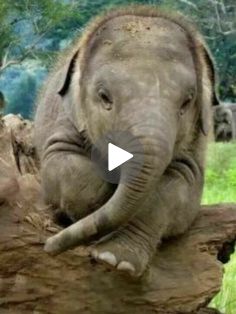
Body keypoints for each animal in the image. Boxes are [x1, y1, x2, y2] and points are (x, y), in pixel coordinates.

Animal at [35, 4, 219, 274]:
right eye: (104, 97)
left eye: (187, 102)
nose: (49, 247)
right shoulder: (66, 119)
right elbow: (63, 165)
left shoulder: (197, 139)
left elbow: (180, 188)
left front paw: (113, 260)